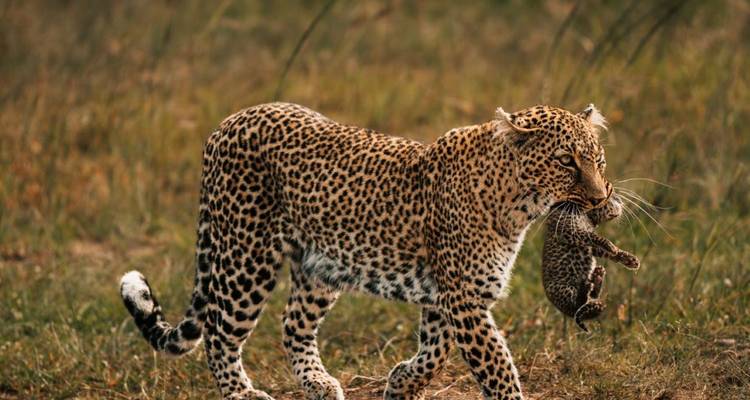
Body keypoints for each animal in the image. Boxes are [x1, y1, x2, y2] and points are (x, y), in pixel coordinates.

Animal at [119, 101, 615, 400]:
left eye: (598, 158)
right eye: (566, 161)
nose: (599, 198)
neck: (517, 202)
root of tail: (227, 123)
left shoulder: (448, 296)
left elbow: (436, 352)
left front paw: (401, 384)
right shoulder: (463, 297)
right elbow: (495, 366)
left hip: (320, 268)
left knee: (292, 325)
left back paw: (319, 384)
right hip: (246, 256)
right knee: (220, 333)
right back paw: (244, 394)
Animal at [541, 194, 640, 333]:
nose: (620, 200)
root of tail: (567, 312)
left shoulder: (589, 245)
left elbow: (605, 251)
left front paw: (629, 259)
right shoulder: (571, 232)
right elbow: (596, 237)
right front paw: (611, 246)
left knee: (590, 296)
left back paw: (597, 276)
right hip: (562, 289)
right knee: (579, 302)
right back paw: (587, 286)